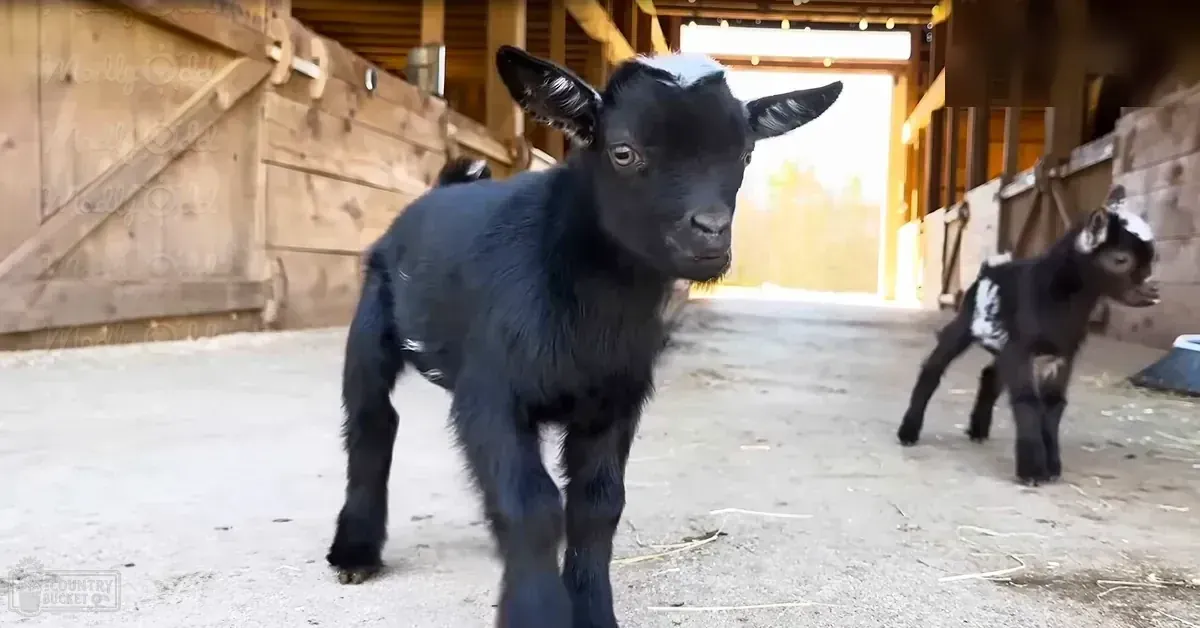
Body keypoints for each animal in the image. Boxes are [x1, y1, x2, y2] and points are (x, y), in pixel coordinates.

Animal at [325, 45, 842, 628]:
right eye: (623, 151)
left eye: (746, 155)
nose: (710, 234)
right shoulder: (492, 392)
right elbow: (532, 505)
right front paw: (536, 611)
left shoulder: (614, 400)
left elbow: (597, 506)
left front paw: (593, 611)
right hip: (371, 323)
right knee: (372, 421)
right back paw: (354, 551)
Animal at [896, 185, 1159, 486]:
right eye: (1120, 259)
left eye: (1153, 256)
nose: (1153, 290)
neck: (1056, 297)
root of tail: (989, 269)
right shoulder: (1022, 350)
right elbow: (1027, 401)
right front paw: (1032, 470)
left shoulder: (1060, 355)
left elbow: (1053, 404)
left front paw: (1052, 467)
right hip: (965, 323)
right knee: (933, 367)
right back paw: (908, 431)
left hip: (1005, 345)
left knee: (990, 375)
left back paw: (978, 430)